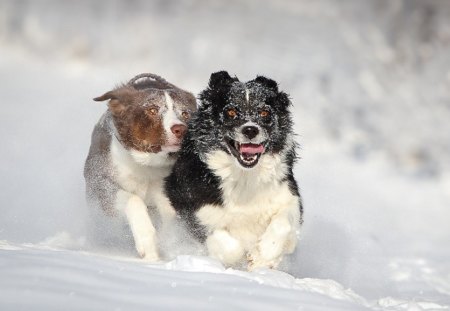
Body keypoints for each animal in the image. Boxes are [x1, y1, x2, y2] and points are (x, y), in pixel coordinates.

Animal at [84, 73, 197, 260]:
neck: (147, 164)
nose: (180, 129)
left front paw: (167, 240)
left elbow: (169, 212)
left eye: (185, 113)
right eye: (152, 110)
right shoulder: (100, 184)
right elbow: (133, 199)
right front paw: (148, 244)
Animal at [165, 70, 302, 270]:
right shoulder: (192, 207)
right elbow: (228, 245)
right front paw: (242, 260)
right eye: (231, 112)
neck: (245, 175)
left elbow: (283, 224)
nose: (251, 130)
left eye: (264, 112)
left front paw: (264, 256)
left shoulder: (287, 196)